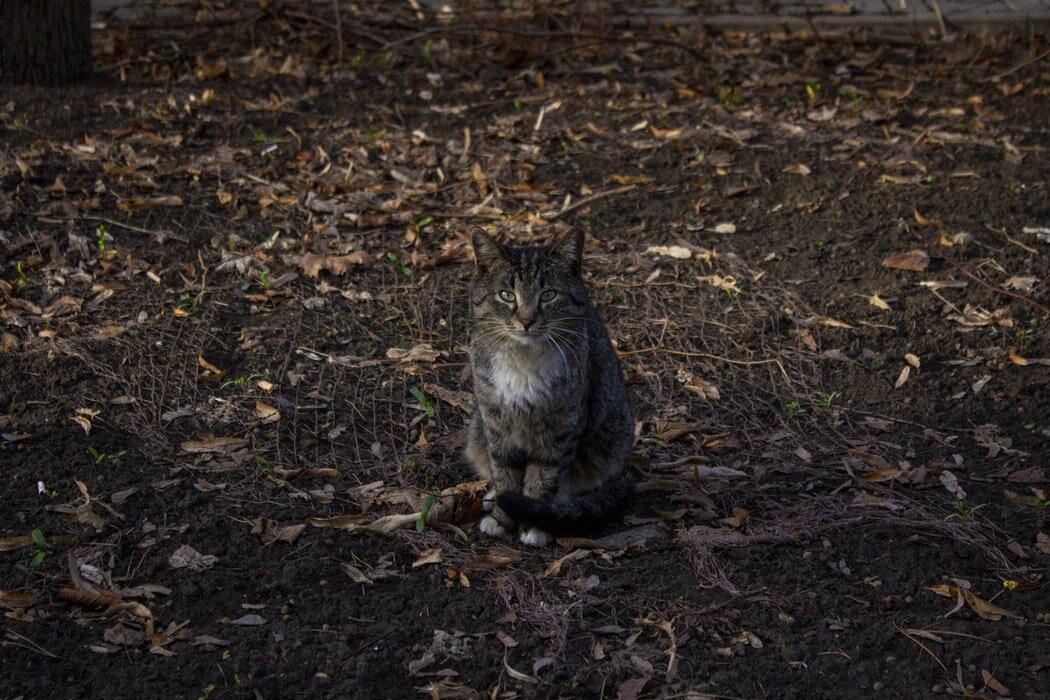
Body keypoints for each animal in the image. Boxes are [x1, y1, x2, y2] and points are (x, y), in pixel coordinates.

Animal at [466, 229, 630, 545]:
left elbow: (544, 478)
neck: (524, 362)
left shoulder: (562, 430)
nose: (526, 320)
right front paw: (502, 518)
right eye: (507, 295)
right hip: (477, 431)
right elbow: (504, 475)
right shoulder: (496, 424)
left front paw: (533, 524)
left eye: (549, 295)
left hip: (610, 442)